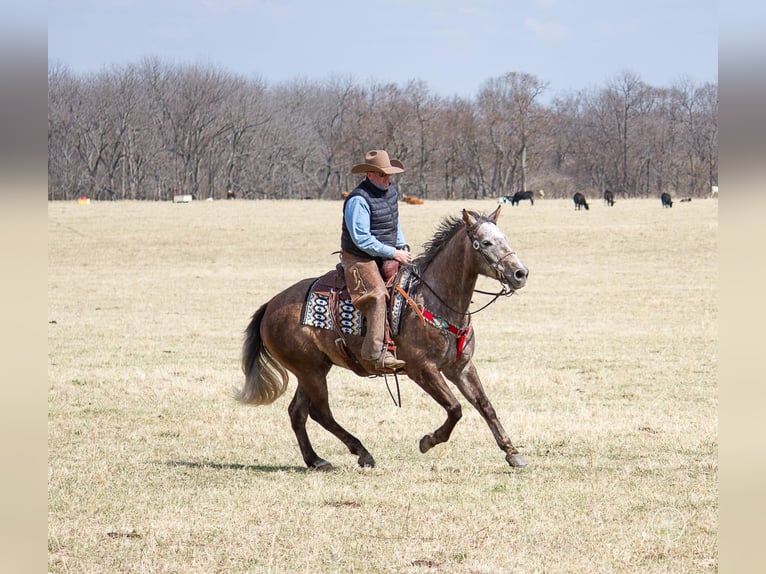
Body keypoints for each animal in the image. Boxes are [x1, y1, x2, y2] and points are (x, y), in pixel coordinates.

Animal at [237, 207, 532, 472]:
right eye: (485, 242)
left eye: (505, 237)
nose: (520, 273)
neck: (434, 298)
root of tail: (270, 306)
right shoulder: (422, 369)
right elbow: (455, 408)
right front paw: (428, 441)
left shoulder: (461, 367)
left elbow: (485, 406)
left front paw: (512, 452)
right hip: (310, 371)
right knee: (320, 413)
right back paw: (362, 453)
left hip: (314, 369)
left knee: (298, 412)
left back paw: (316, 460)